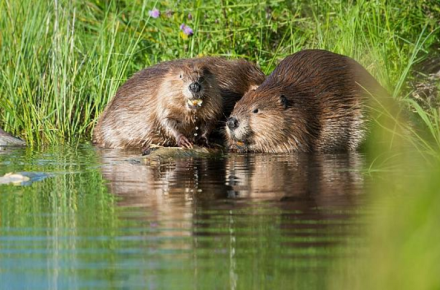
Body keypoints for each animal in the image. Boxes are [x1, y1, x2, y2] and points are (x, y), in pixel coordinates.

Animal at [227, 49, 388, 154]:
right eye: (235, 105)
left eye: (256, 110)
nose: (231, 122)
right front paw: (233, 144)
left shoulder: (300, 124)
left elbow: (290, 146)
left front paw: (241, 147)